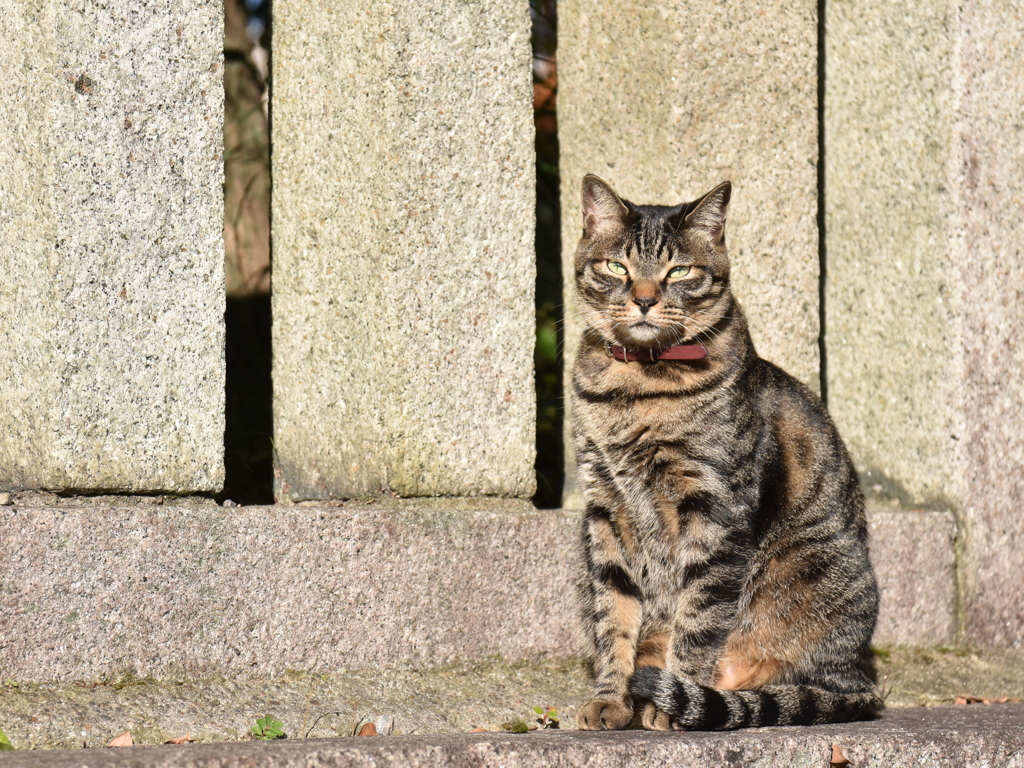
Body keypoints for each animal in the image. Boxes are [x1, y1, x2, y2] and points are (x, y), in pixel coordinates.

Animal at [573, 176, 876, 733]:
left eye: (680, 271)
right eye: (617, 267)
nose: (644, 300)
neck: (636, 387)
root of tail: (861, 678)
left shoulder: (715, 508)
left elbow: (697, 616)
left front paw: (670, 702)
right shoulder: (605, 507)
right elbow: (614, 615)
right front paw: (610, 697)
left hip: (810, 572)